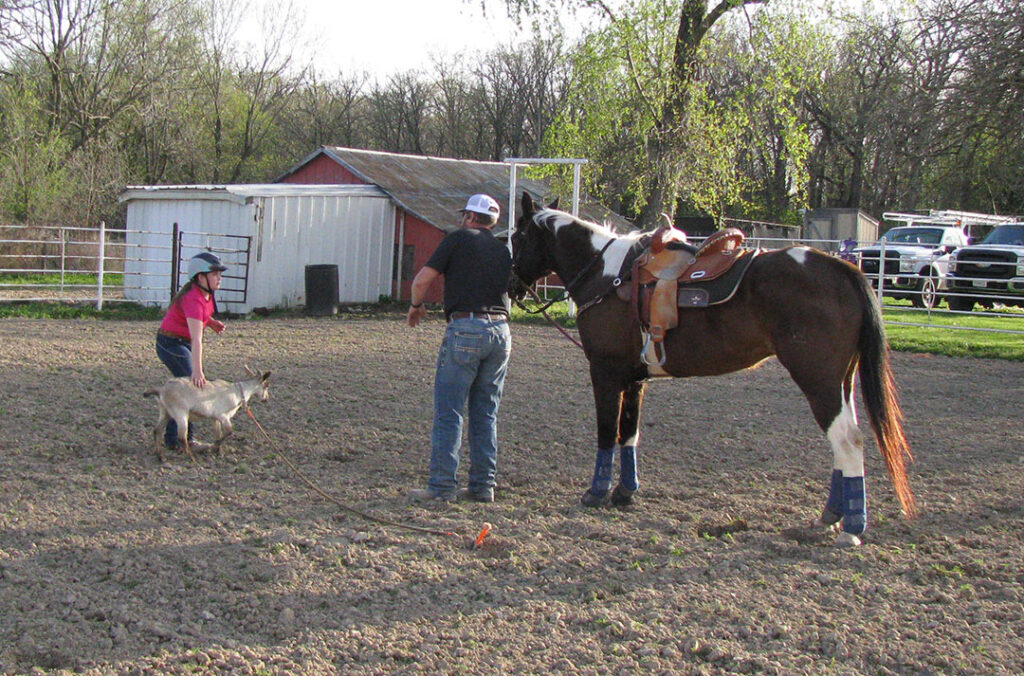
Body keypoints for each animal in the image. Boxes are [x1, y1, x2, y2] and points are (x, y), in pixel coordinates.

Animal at [507, 192, 917, 544]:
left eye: (516, 236)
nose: (511, 285)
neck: (607, 275)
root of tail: (843, 269)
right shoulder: (634, 379)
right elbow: (629, 434)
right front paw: (625, 492)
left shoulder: (605, 373)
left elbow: (607, 433)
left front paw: (595, 493)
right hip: (840, 382)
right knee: (842, 442)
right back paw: (830, 516)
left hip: (819, 381)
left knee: (847, 441)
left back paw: (852, 527)